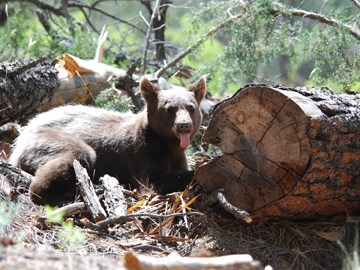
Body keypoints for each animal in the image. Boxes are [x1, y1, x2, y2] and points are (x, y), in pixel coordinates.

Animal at [9, 77, 205, 206]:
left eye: (191, 107)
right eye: (170, 108)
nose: (184, 125)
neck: (169, 145)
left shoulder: (178, 156)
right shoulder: (144, 153)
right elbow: (151, 183)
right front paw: (196, 173)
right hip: (45, 140)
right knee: (78, 154)